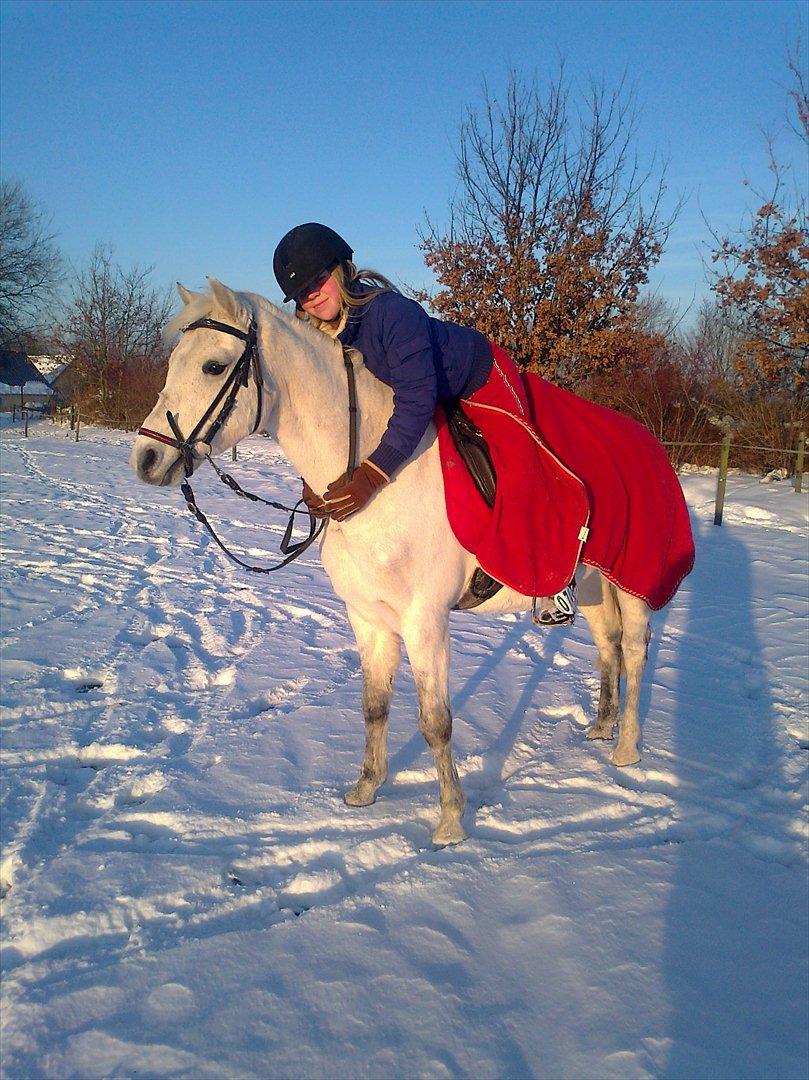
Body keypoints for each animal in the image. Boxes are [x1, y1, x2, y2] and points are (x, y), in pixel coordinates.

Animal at [130, 279, 652, 846]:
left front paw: (449, 821)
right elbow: (374, 706)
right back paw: (601, 727)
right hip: (592, 582)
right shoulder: (368, 617)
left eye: (213, 366)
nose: (146, 460)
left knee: (634, 652)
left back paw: (626, 748)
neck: (372, 474)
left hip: (635, 585)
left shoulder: (425, 621)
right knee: (608, 647)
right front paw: (366, 788)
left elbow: (435, 722)